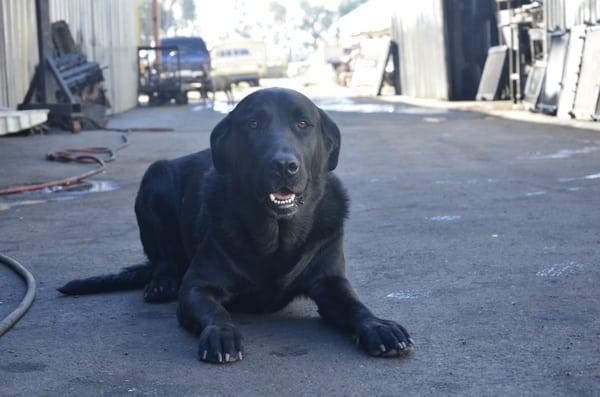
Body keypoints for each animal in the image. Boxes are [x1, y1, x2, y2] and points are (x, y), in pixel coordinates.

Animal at [59, 87, 412, 362]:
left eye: (303, 124)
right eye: (252, 124)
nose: (284, 166)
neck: (276, 240)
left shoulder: (330, 282)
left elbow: (356, 306)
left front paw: (379, 326)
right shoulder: (196, 286)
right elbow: (216, 311)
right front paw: (221, 333)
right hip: (156, 175)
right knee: (163, 259)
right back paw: (161, 282)